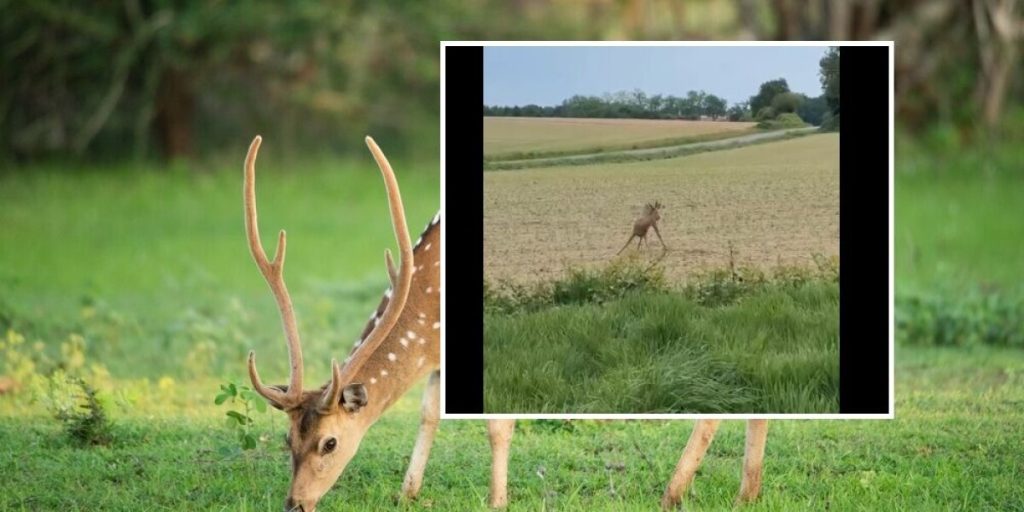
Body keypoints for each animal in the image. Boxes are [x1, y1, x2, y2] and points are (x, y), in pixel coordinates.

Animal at [241, 135, 513, 512]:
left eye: (330, 442)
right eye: (288, 438)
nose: (295, 504)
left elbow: (496, 425)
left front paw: (497, 500)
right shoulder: (437, 360)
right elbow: (429, 413)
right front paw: (407, 492)